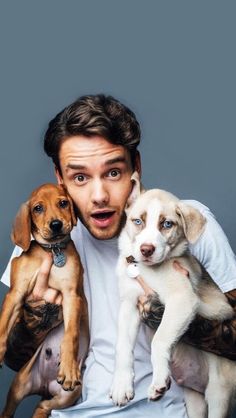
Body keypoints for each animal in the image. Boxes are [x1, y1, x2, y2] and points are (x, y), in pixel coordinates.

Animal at [110, 173, 236, 418]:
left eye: (167, 224)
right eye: (138, 221)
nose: (146, 250)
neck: (146, 270)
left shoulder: (182, 300)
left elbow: (159, 341)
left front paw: (159, 381)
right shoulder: (129, 305)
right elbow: (123, 346)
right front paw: (121, 385)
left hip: (220, 391)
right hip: (195, 401)